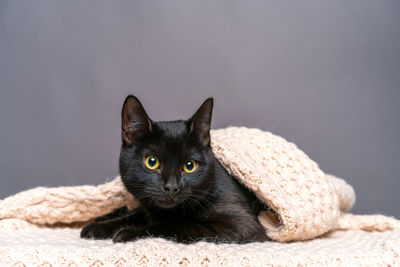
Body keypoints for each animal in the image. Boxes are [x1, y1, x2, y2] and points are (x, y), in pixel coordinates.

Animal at [80, 96, 268, 245]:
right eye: (152, 162)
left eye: (190, 166)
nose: (171, 187)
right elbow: (137, 214)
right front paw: (98, 227)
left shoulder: (242, 226)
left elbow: (177, 225)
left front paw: (129, 232)